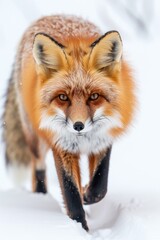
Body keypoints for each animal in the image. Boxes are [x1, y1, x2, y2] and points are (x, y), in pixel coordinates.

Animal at [2, 14, 135, 231]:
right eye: (63, 97)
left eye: (94, 96)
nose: (78, 126)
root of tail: (51, 15)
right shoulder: (61, 145)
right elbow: (71, 194)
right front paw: (80, 228)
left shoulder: (103, 138)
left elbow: (99, 185)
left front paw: (87, 195)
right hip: (36, 138)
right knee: (38, 168)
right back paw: (41, 198)